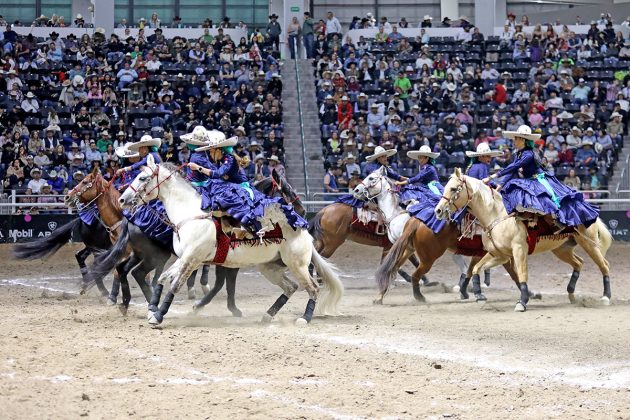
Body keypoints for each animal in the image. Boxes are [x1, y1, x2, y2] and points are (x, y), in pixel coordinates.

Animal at [91, 158, 344, 324]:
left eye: (143, 177)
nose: (123, 199)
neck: (190, 213)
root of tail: (303, 230)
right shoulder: (184, 258)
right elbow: (163, 280)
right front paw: (154, 309)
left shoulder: (193, 259)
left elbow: (177, 285)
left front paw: (160, 314)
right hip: (269, 267)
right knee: (291, 287)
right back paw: (267, 315)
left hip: (297, 265)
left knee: (312, 288)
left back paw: (305, 318)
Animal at [436, 167, 616, 312]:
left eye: (453, 188)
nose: (438, 211)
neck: (497, 216)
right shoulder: (499, 255)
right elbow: (476, 268)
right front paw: (479, 295)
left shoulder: (518, 251)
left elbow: (522, 274)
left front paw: (522, 302)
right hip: (561, 249)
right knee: (579, 263)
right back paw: (571, 295)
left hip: (589, 244)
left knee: (605, 265)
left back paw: (605, 297)